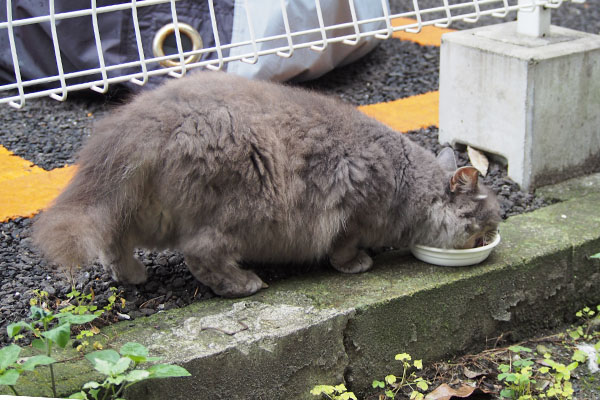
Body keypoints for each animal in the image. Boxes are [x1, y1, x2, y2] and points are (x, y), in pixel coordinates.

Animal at [32, 71, 502, 296]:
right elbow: (344, 247)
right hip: (235, 211)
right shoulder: (353, 209)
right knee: (200, 255)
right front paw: (358, 263)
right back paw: (245, 284)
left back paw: (133, 275)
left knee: (113, 241)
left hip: (139, 209)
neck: (405, 182)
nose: (490, 238)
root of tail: (143, 121)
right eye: (486, 223)